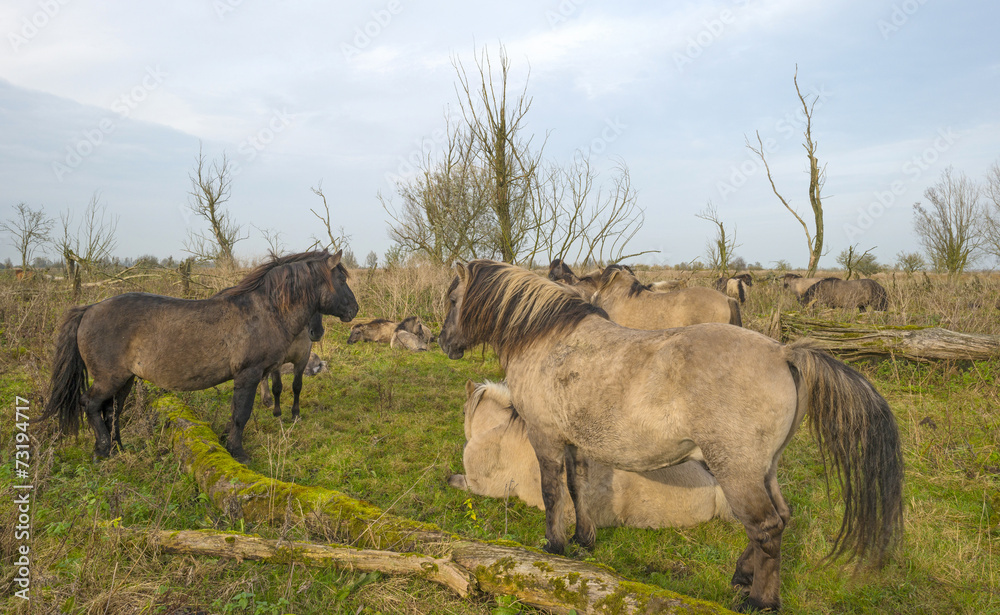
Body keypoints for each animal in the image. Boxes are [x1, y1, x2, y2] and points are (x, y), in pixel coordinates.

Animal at [43, 250, 358, 463]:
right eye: (341, 278)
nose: (354, 309)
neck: (264, 310)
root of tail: (89, 309)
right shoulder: (248, 375)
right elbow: (241, 414)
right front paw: (238, 452)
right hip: (109, 378)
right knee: (91, 404)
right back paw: (102, 451)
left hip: (125, 380)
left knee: (112, 411)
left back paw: (119, 449)